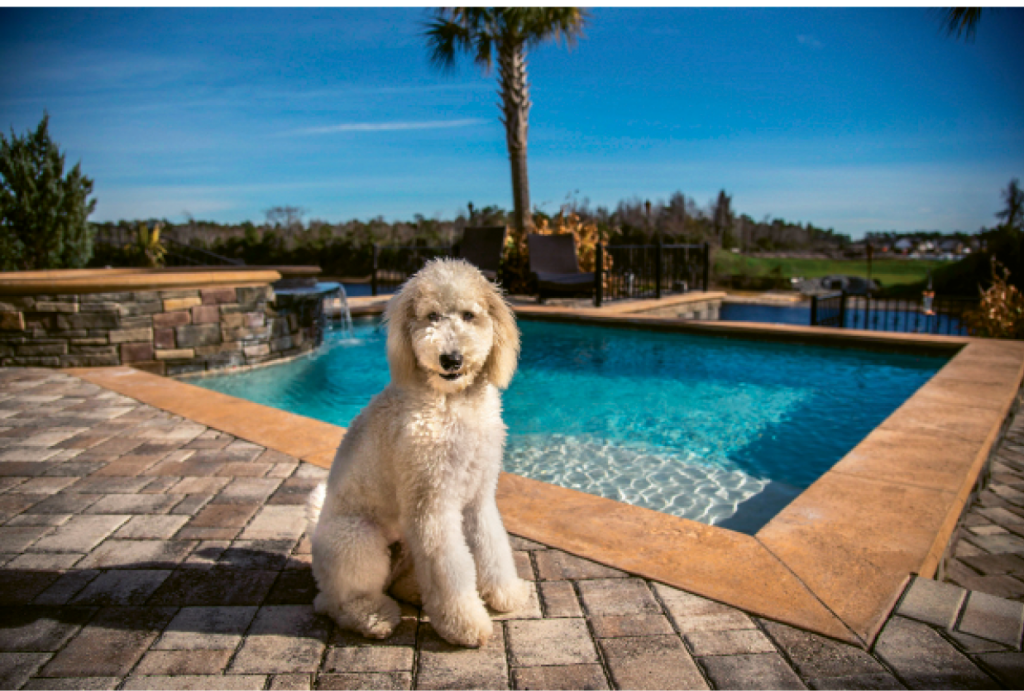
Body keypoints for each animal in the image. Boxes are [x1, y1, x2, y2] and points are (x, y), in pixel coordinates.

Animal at [303, 257, 528, 646]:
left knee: (398, 585)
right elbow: (450, 572)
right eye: (431, 316)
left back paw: (415, 593)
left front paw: (506, 593)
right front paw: (465, 624)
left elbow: (492, 548)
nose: (451, 358)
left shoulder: (478, 498)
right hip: (357, 539)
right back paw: (373, 617)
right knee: (338, 601)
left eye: (469, 315)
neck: (453, 402)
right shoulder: (432, 506)